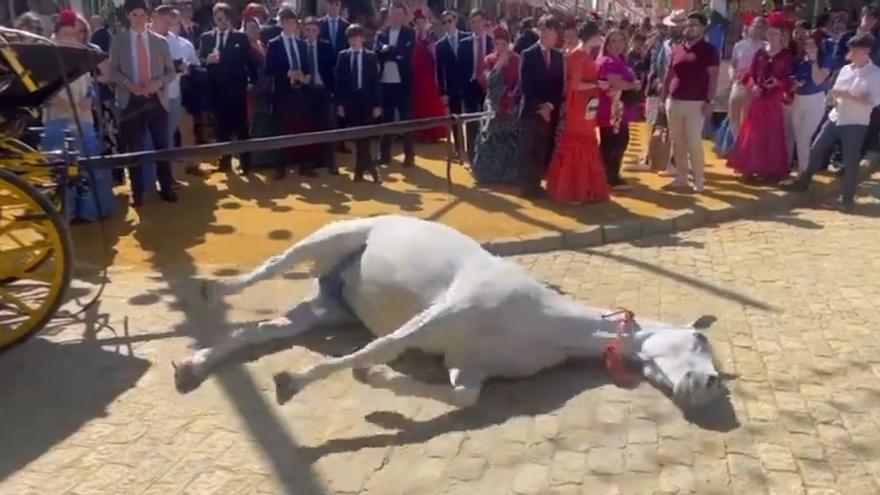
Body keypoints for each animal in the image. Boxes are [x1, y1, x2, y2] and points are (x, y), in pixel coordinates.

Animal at [172, 215, 720, 408]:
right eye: (700, 339)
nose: (708, 386)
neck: (547, 323)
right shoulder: (438, 315)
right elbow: (381, 346)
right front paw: (292, 381)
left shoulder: (468, 366)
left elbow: (461, 397)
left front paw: (376, 381)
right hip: (327, 240)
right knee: (271, 266)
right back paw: (210, 288)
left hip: (327, 309)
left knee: (259, 332)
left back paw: (191, 366)